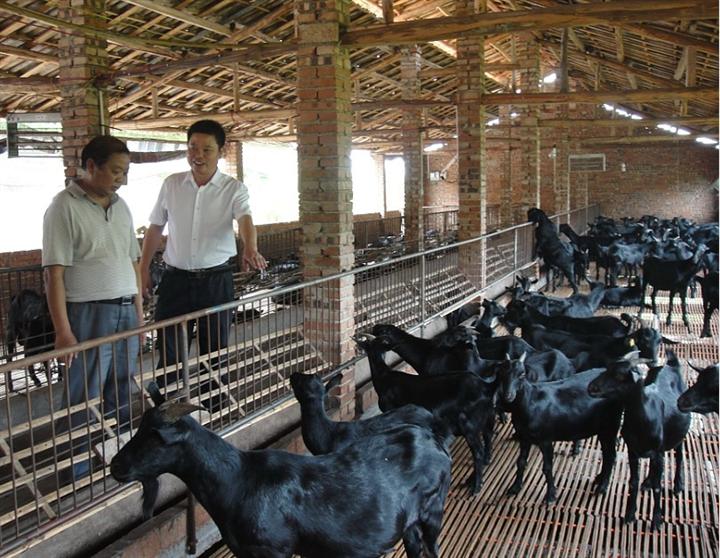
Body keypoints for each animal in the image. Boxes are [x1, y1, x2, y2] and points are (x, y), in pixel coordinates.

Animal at [109, 384, 450, 558]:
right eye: (140, 426)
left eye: (156, 435)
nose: (116, 466)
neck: (237, 480)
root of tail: (434, 439)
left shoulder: (274, 550)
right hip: (410, 522)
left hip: (433, 510)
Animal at [498, 358, 620, 508]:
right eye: (502, 374)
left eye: (522, 374)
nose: (508, 396)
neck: (531, 401)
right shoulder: (524, 437)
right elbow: (520, 462)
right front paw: (515, 488)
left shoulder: (545, 439)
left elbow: (547, 468)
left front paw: (551, 495)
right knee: (607, 454)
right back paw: (599, 478)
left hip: (610, 426)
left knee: (611, 455)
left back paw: (602, 487)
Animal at [592, 352, 692, 532]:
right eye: (607, 368)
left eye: (619, 375)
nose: (591, 387)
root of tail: (671, 364)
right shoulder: (633, 450)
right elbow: (633, 482)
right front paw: (630, 514)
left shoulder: (658, 452)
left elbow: (658, 487)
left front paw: (657, 520)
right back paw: (648, 481)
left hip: (678, 434)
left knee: (679, 454)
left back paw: (678, 484)